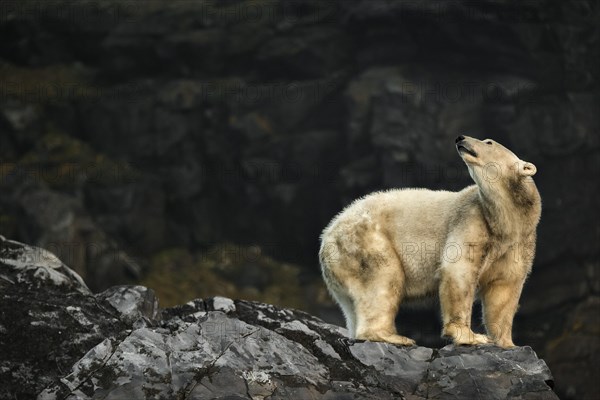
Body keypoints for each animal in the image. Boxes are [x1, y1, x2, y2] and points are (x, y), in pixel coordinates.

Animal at [322, 135, 540, 346]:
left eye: (489, 142)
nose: (461, 139)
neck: (505, 221)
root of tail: (327, 236)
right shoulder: (472, 220)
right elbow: (458, 271)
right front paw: (470, 336)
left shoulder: (519, 243)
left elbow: (504, 290)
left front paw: (507, 343)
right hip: (365, 242)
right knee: (383, 280)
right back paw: (394, 337)